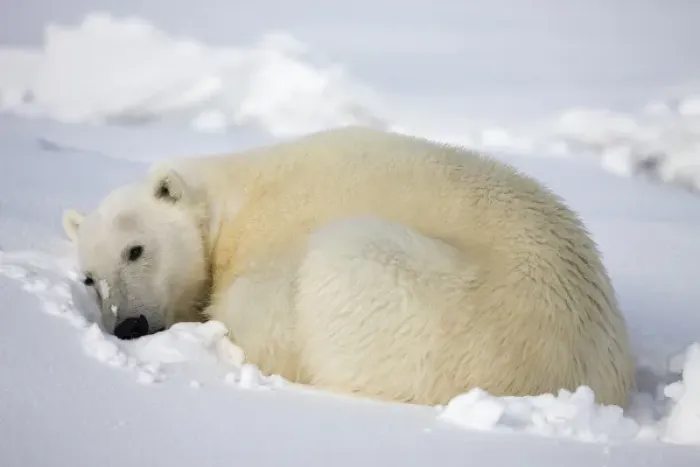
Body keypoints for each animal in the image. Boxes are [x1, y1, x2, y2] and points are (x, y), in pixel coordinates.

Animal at [62, 125, 636, 408]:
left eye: (136, 249)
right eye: (89, 278)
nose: (128, 325)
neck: (234, 200)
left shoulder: (277, 236)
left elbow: (261, 322)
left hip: (443, 317)